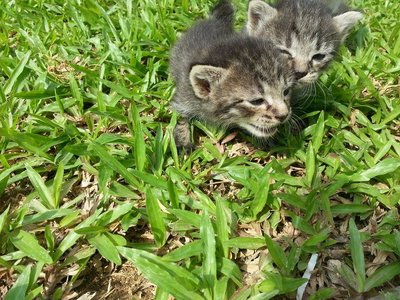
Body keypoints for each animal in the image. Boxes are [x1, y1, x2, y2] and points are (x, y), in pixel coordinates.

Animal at [170, 0, 296, 148]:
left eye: (286, 91)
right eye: (256, 101)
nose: (284, 115)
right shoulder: (184, 95)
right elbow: (180, 116)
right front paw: (182, 140)